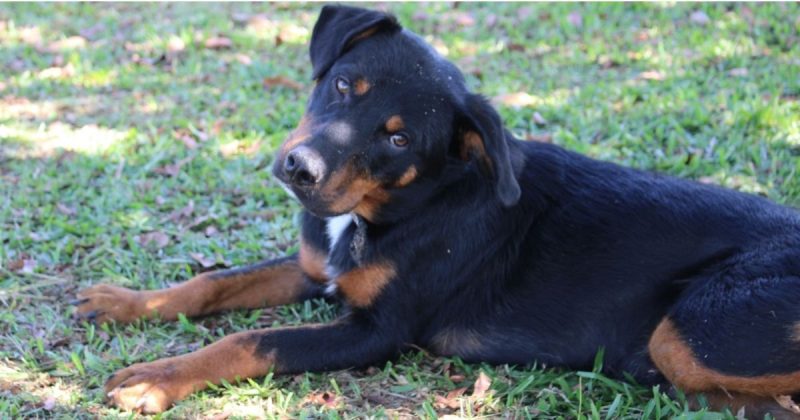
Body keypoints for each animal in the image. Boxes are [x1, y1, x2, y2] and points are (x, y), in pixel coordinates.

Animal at [73, 4, 800, 416]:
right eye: (344, 84)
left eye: (398, 139)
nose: (300, 169)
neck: (396, 208)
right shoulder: (316, 267)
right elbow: (213, 283)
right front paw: (123, 301)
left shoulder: (375, 332)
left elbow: (247, 341)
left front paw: (156, 378)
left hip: (692, 325)